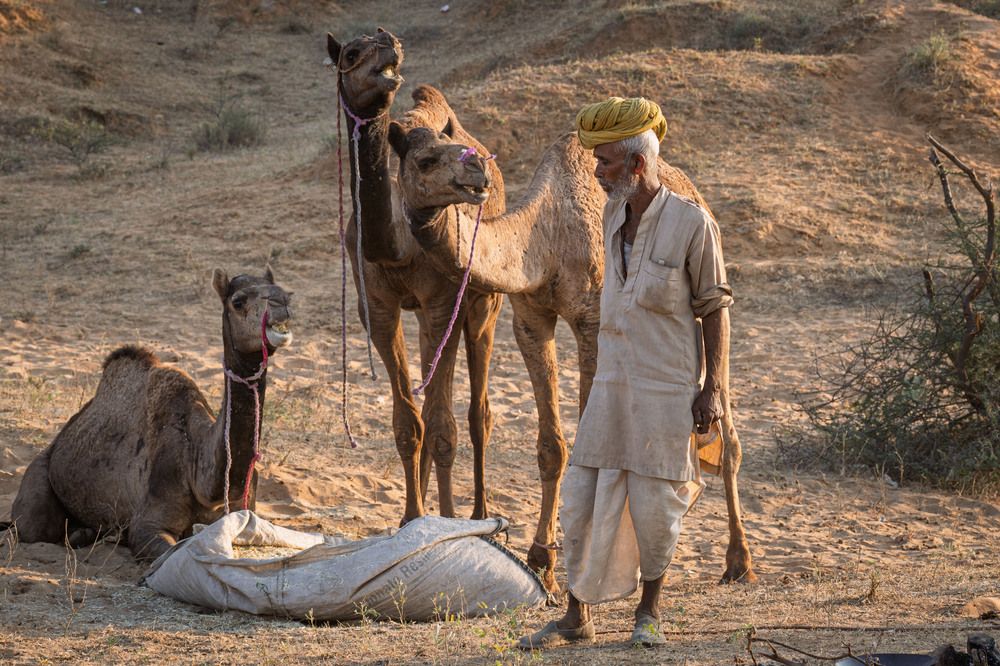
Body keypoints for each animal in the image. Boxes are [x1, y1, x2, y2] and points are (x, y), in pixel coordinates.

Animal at [1, 268, 293, 560]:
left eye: (284, 290)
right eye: (238, 301)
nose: (282, 301)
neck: (200, 471)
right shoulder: (148, 521)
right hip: (38, 480)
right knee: (36, 526)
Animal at [327, 30, 507, 531]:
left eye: (387, 42)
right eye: (351, 54)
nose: (390, 44)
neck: (396, 244)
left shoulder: (443, 304)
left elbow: (443, 426)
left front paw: (444, 519)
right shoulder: (377, 308)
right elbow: (409, 423)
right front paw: (411, 517)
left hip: (483, 306)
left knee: (477, 413)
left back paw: (479, 511)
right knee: (430, 409)